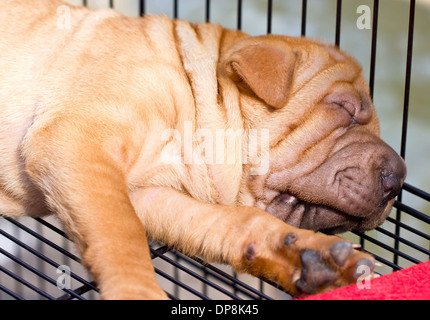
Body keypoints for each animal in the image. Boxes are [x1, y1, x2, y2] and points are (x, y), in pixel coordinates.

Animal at [0, 0, 404, 300]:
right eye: (344, 108)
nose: (398, 179)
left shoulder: (149, 195)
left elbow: (233, 222)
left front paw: (306, 254)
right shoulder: (77, 140)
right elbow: (121, 236)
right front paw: (139, 290)